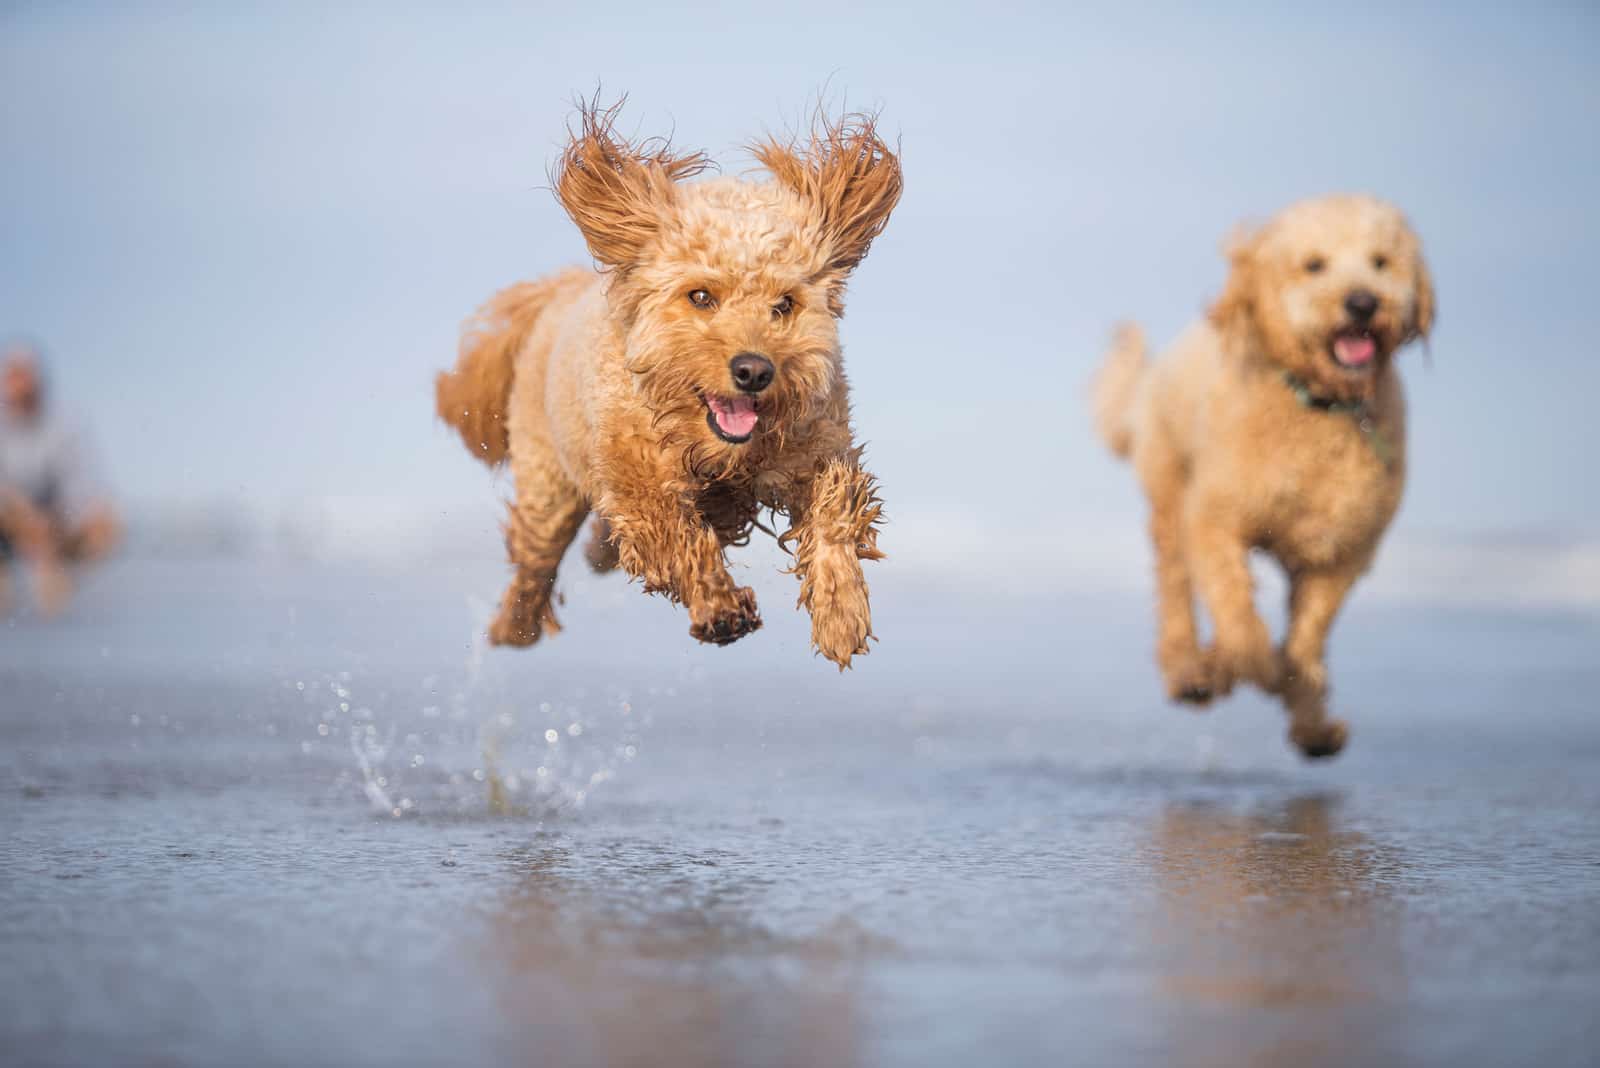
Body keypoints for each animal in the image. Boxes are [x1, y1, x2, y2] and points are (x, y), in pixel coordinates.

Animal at [435, 99, 902, 668]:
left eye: (784, 304)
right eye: (701, 296)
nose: (753, 371)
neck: (721, 453)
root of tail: (560, 291)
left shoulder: (817, 445)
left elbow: (835, 513)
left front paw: (840, 612)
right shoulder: (638, 480)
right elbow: (677, 539)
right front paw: (720, 608)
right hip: (549, 482)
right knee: (535, 560)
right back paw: (514, 626)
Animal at [1100, 194, 1440, 757]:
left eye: (1380, 262)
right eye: (1314, 265)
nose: (1363, 303)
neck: (1317, 404)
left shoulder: (1340, 552)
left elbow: (1308, 636)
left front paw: (1310, 717)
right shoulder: (1215, 521)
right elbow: (1239, 621)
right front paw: (1237, 665)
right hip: (1169, 490)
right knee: (1175, 585)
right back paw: (1190, 669)